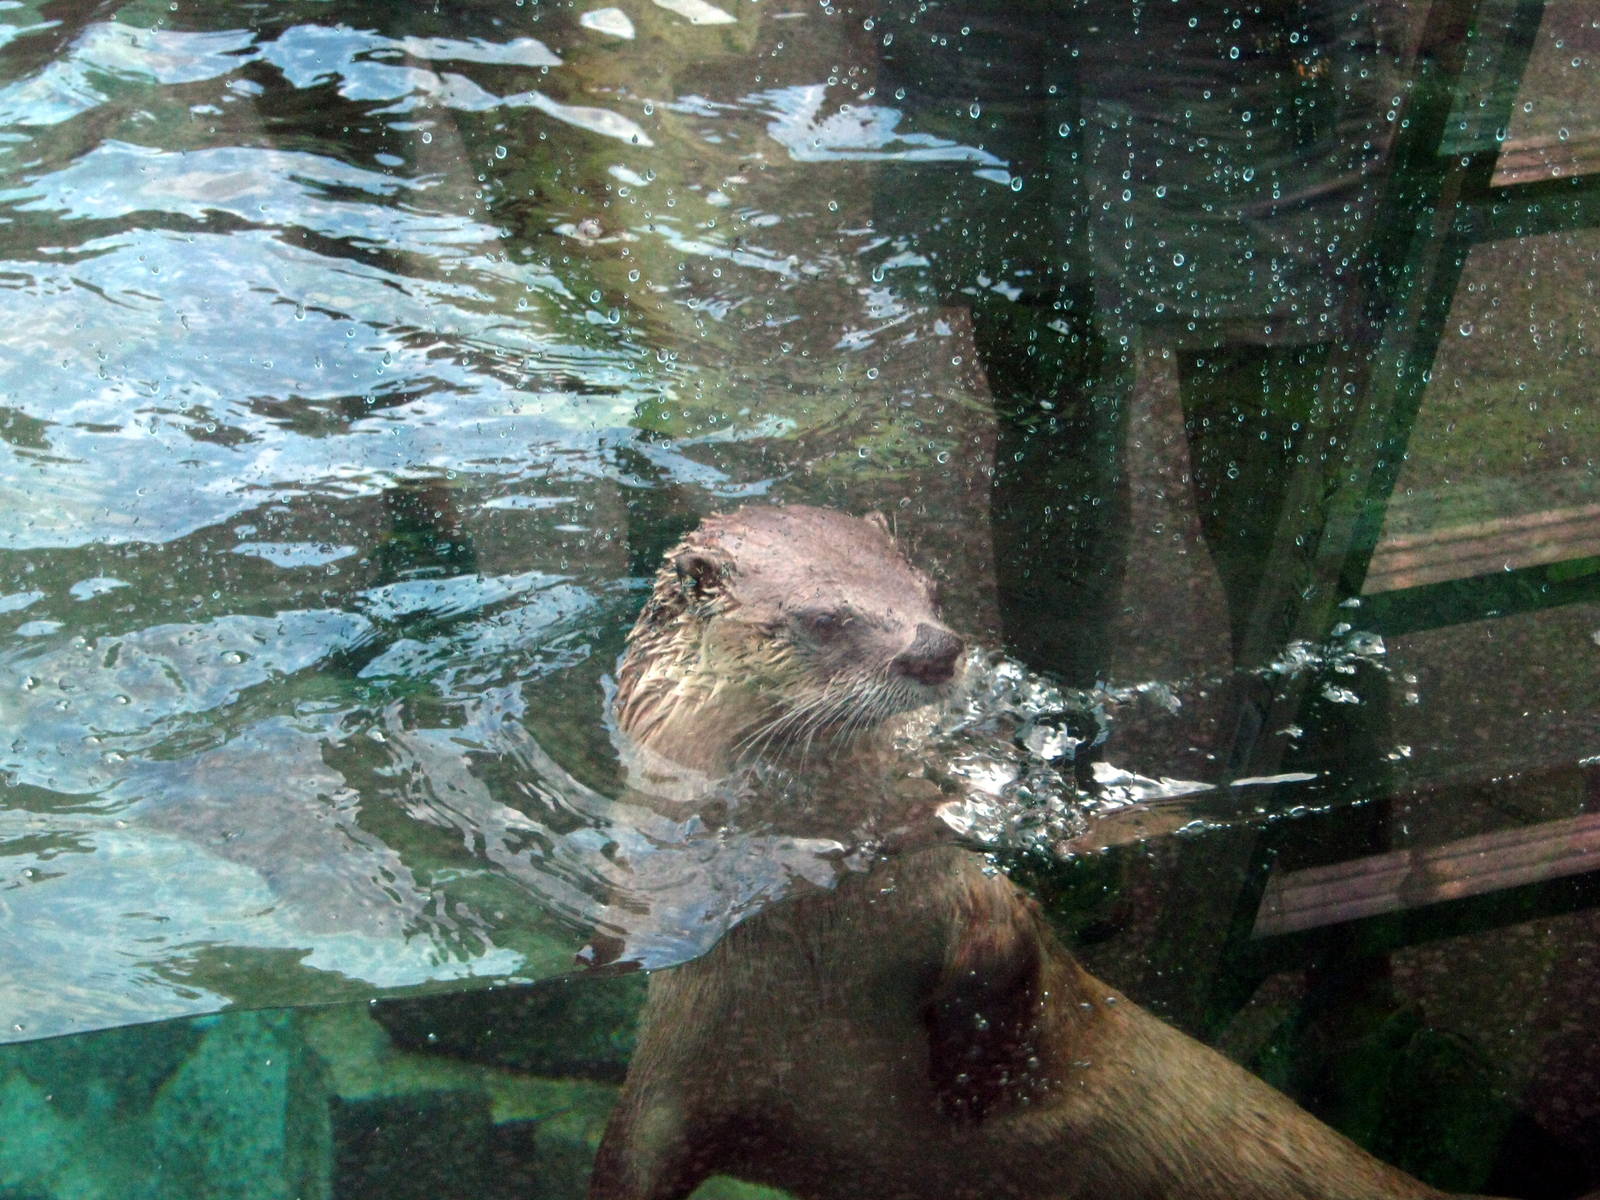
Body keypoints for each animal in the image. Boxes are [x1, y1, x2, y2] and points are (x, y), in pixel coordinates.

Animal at [590, 505, 1503, 1200]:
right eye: (823, 619)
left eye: (927, 590)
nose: (937, 648)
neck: (821, 926)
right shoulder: (675, 1062)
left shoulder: (965, 884)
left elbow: (1013, 946)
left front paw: (970, 1077)